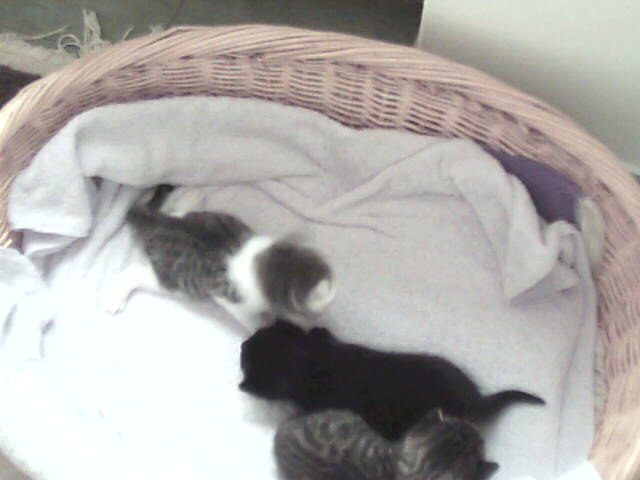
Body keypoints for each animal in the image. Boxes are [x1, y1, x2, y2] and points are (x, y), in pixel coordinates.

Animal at [100, 186, 335, 332]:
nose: (331, 302)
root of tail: (162, 224)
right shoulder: (234, 301)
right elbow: (252, 321)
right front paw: (266, 328)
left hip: (194, 218)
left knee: (175, 209)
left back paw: (190, 198)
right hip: (172, 279)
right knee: (134, 271)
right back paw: (115, 297)